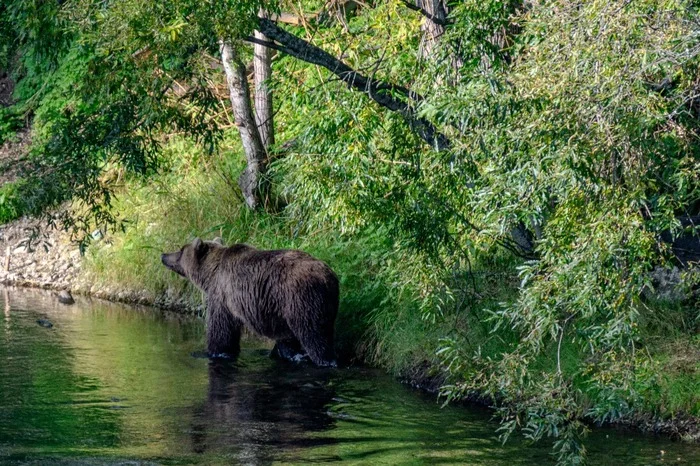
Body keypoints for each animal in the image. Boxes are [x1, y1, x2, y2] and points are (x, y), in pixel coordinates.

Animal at [163, 240, 340, 368]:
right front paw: (282, 354)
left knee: (314, 336)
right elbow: (286, 340)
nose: (163, 255)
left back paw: (326, 361)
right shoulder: (279, 315)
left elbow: (221, 329)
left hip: (302, 299)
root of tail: (328, 277)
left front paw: (216, 352)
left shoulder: (222, 296)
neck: (210, 275)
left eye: (181, 250)